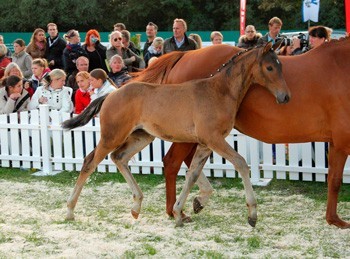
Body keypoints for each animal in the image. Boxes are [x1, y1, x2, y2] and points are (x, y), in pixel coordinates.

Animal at [62, 42, 290, 228]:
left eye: (281, 66)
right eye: (270, 67)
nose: (285, 97)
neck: (219, 91)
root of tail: (111, 94)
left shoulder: (205, 144)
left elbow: (192, 174)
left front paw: (180, 212)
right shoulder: (214, 139)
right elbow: (241, 163)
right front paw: (252, 214)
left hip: (142, 137)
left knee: (119, 157)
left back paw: (136, 206)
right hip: (112, 136)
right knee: (90, 161)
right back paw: (70, 210)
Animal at [131, 37, 350, 229]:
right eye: (270, 68)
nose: (286, 96)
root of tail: (184, 55)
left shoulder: (336, 143)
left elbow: (333, 178)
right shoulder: (341, 142)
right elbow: (335, 180)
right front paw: (335, 220)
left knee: (188, 164)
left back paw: (195, 201)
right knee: (172, 163)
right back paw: (174, 209)